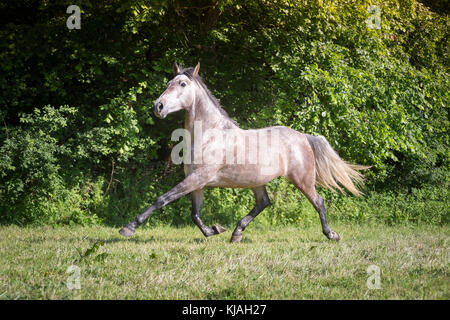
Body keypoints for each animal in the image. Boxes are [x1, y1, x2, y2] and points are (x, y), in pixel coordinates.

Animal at [118, 62, 368, 242]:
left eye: (182, 84)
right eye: (169, 82)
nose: (157, 107)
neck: (208, 135)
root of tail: (303, 136)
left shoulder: (198, 178)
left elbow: (163, 199)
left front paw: (128, 228)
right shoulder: (197, 182)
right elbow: (195, 214)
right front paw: (214, 230)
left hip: (302, 179)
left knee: (318, 201)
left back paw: (331, 234)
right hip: (257, 181)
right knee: (263, 203)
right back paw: (236, 233)